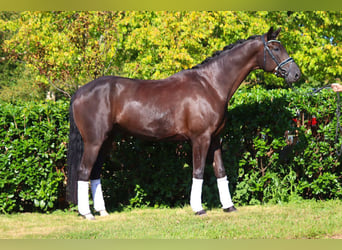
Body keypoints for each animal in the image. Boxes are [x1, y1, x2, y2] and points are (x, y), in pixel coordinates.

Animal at [65, 26, 300, 219]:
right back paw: (87, 214)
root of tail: (80, 91)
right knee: (84, 172)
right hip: (94, 142)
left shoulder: (216, 139)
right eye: (276, 48)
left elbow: (220, 171)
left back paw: (102, 211)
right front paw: (198, 208)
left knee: (95, 173)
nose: (296, 74)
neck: (210, 85)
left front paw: (229, 206)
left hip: (107, 141)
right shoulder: (200, 139)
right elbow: (198, 171)